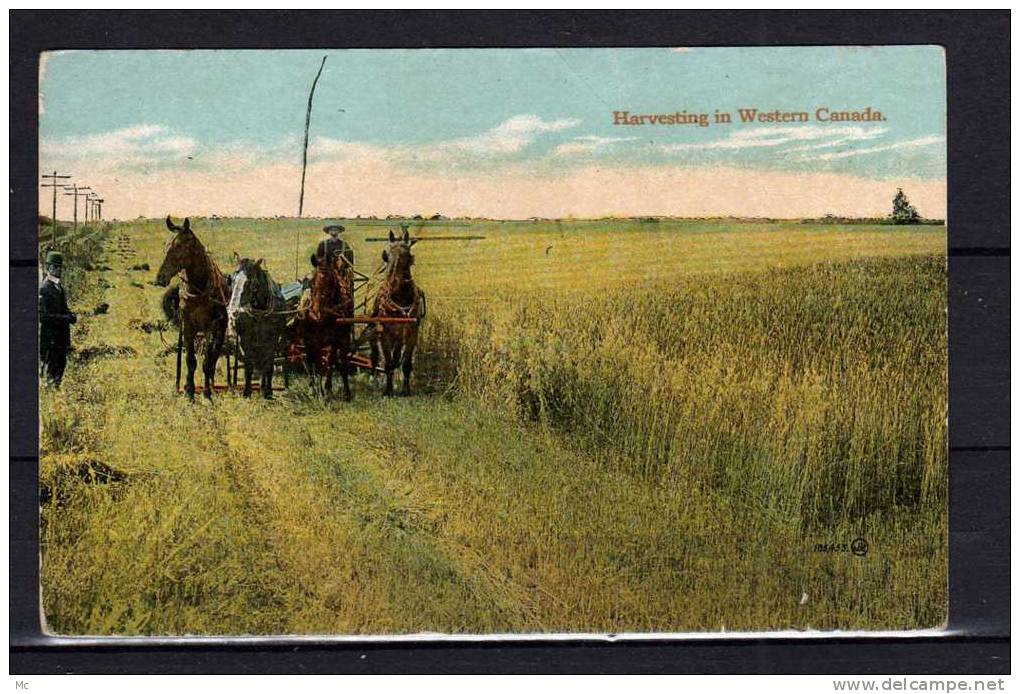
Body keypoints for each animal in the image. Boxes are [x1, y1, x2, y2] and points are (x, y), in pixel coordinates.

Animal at [155, 216, 229, 402]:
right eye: (166, 245)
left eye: (179, 247)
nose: (159, 278)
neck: (199, 289)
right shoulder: (188, 326)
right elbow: (190, 360)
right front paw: (189, 391)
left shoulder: (210, 327)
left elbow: (207, 361)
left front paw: (207, 392)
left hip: (220, 329)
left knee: (214, 355)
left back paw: (211, 383)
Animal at [225, 255, 285, 398]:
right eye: (232, 280)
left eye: (249, 282)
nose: (233, 311)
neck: (260, 312)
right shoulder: (246, 340)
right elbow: (249, 365)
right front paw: (247, 392)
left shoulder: (272, 341)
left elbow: (268, 365)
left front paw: (268, 392)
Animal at [289, 244, 357, 398]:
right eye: (313, 281)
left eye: (332, 281)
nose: (317, 312)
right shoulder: (312, 340)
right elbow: (316, 363)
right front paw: (317, 390)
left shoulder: (337, 339)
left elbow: (333, 362)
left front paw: (334, 390)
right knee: (313, 361)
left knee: (332, 361)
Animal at [371, 227, 426, 395]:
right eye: (387, 255)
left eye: (406, 254)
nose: (393, 282)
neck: (400, 299)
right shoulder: (384, 334)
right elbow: (388, 362)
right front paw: (388, 390)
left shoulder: (412, 333)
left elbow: (406, 363)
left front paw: (406, 389)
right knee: (375, 356)